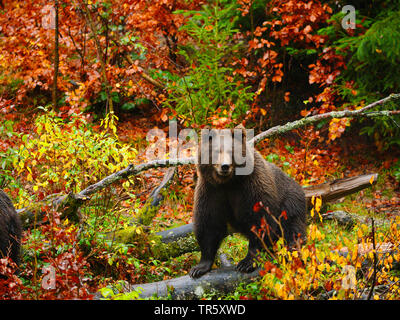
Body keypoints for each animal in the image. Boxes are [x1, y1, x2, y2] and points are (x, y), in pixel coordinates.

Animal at [190, 127, 306, 278]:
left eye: (232, 151)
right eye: (216, 151)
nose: (224, 166)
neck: (229, 183)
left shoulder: (252, 187)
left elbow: (259, 221)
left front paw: (246, 262)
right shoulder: (211, 191)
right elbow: (209, 224)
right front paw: (199, 267)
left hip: (290, 200)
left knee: (292, 225)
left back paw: (292, 247)